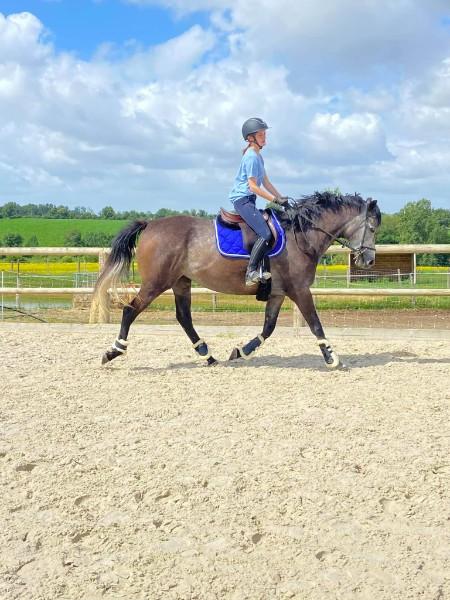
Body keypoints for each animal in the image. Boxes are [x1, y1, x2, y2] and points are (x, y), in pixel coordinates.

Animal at [93, 192, 382, 368]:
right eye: (372, 227)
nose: (368, 260)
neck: (301, 235)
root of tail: (150, 225)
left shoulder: (277, 292)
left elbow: (268, 328)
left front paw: (241, 351)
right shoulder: (300, 290)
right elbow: (315, 324)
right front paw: (332, 357)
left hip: (181, 282)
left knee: (184, 317)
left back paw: (208, 355)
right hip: (157, 282)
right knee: (131, 310)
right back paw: (113, 351)